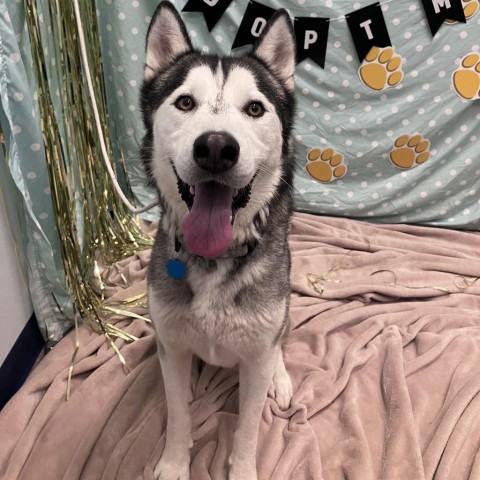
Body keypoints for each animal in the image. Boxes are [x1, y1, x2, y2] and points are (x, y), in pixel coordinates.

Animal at [140, 1, 296, 478]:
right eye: (185, 102)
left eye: (255, 109)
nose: (214, 147)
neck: (215, 255)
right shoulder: (170, 342)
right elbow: (177, 415)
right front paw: (174, 463)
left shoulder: (257, 354)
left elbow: (247, 427)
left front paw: (242, 468)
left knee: (281, 339)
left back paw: (281, 378)